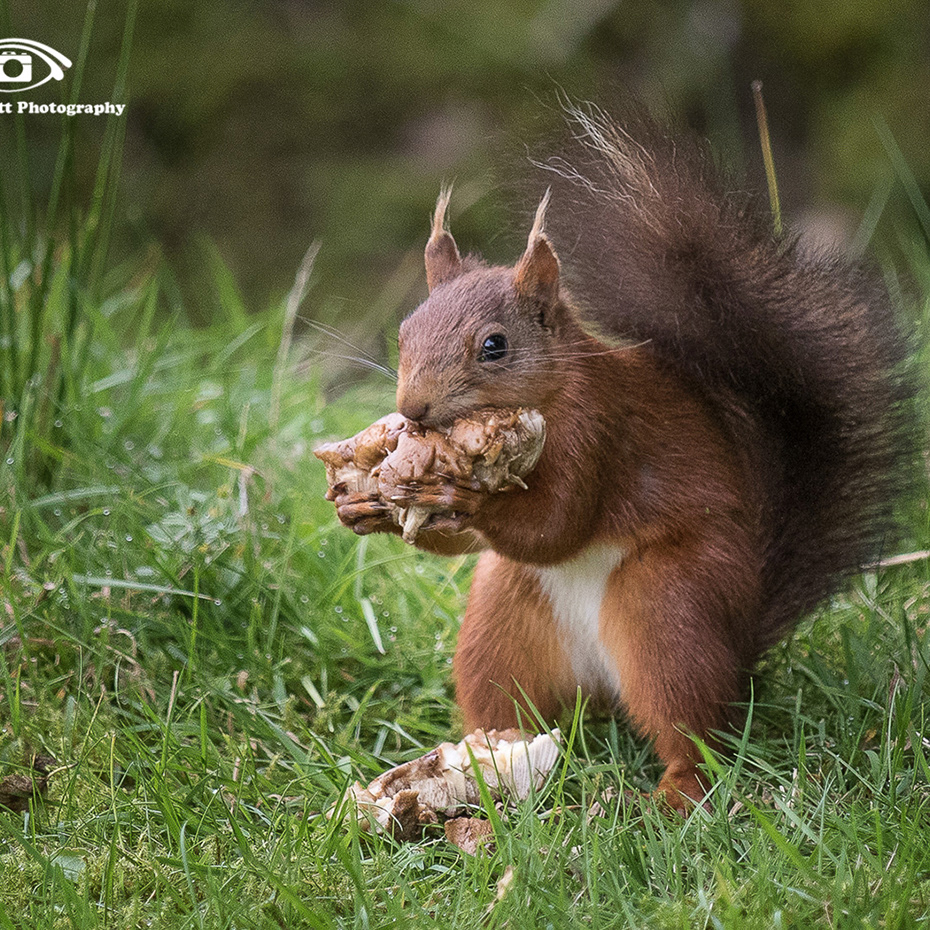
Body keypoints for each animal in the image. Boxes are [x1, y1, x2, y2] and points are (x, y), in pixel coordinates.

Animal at [331, 103, 918, 810]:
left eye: (495, 346)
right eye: (404, 332)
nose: (413, 409)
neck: (555, 390)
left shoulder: (599, 430)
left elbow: (559, 526)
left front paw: (460, 493)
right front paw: (364, 503)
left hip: (667, 607)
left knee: (694, 729)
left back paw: (673, 794)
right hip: (502, 625)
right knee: (506, 697)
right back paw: (482, 756)